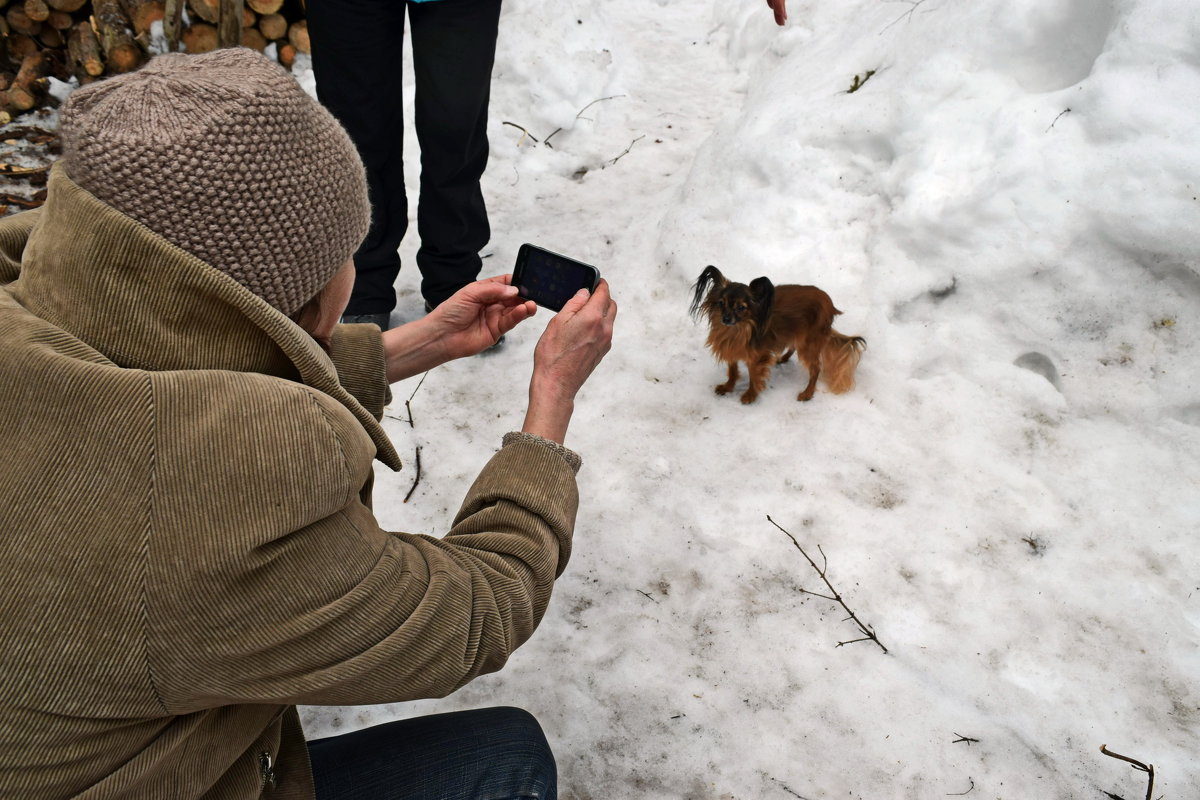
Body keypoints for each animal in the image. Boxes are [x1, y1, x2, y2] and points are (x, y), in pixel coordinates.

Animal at [691, 267, 868, 402]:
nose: (726, 319)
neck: (738, 330)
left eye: (741, 307)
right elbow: (733, 371)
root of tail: (829, 304)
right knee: (793, 345)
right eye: (721, 303)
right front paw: (728, 387)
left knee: (816, 368)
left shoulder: (757, 358)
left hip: (809, 343)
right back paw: (783, 358)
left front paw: (750, 395)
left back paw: (807, 393)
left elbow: (754, 377)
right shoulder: (732, 351)